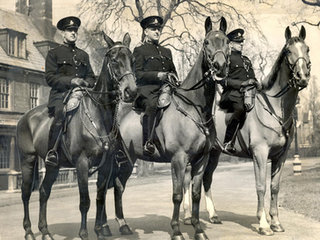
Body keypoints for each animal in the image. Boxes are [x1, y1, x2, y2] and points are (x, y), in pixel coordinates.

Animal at [17, 32, 138, 240]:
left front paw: (99, 231)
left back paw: (45, 231)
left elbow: (99, 197)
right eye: (114, 60)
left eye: (132, 59)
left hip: (53, 165)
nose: (131, 91)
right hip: (28, 159)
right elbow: (85, 201)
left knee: (44, 191)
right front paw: (84, 233)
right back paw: (29, 231)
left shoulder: (106, 165)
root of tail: (24, 117)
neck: (98, 116)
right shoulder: (82, 164)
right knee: (26, 193)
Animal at [92, 16, 230, 240]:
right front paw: (176, 231)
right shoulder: (178, 159)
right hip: (112, 159)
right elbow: (177, 195)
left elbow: (196, 194)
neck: (193, 108)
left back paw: (122, 225)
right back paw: (104, 226)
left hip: (128, 160)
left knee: (118, 186)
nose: (219, 67)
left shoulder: (201, 160)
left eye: (226, 41)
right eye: (207, 42)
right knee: (104, 187)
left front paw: (198, 230)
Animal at [184, 25, 312, 235]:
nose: (302, 77)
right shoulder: (260, 154)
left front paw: (276, 222)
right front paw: (264, 224)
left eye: (307, 49)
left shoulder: (281, 156)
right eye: (288, 51)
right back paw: (187, 216)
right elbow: (261, 187)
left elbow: (274, 187)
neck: (274, 109)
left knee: (207, 179)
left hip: (214, 153)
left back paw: (213, 215)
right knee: (187, 179)